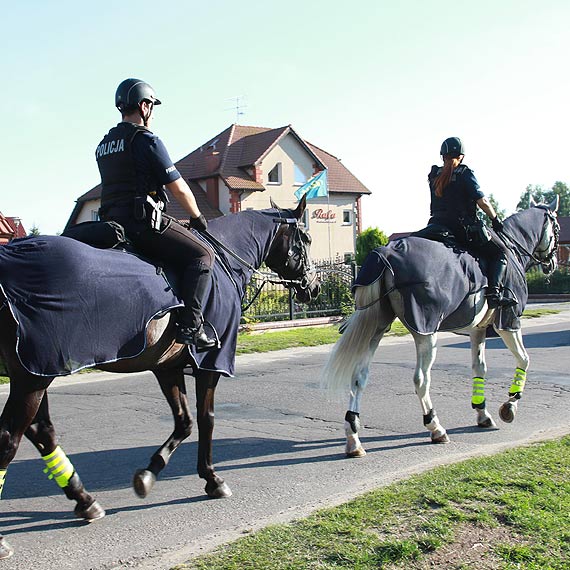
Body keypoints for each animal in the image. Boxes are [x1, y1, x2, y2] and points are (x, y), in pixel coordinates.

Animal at [0, 197, 318, 556]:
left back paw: (85, 500)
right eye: (305, 238)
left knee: (41, 432)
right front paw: (212, 478)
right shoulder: (210, 365)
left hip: (37, 371)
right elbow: (206, 418)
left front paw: (149, 474)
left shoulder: (167, 367)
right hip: (32, 378)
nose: (313, 287)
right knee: (9, 440)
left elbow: (184, 422)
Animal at [322, 197, 556, 454]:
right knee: (421, 380)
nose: (552, 263)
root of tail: (386, 252)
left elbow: (479, 368)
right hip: (426, 333)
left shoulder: (478, 330)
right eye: (556, 228)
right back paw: (435, 427)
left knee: (359, 375)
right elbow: (524, 359)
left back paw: (353, 436)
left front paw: (482, 413)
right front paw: (509, 406)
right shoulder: (509, 323)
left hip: (377, 327)